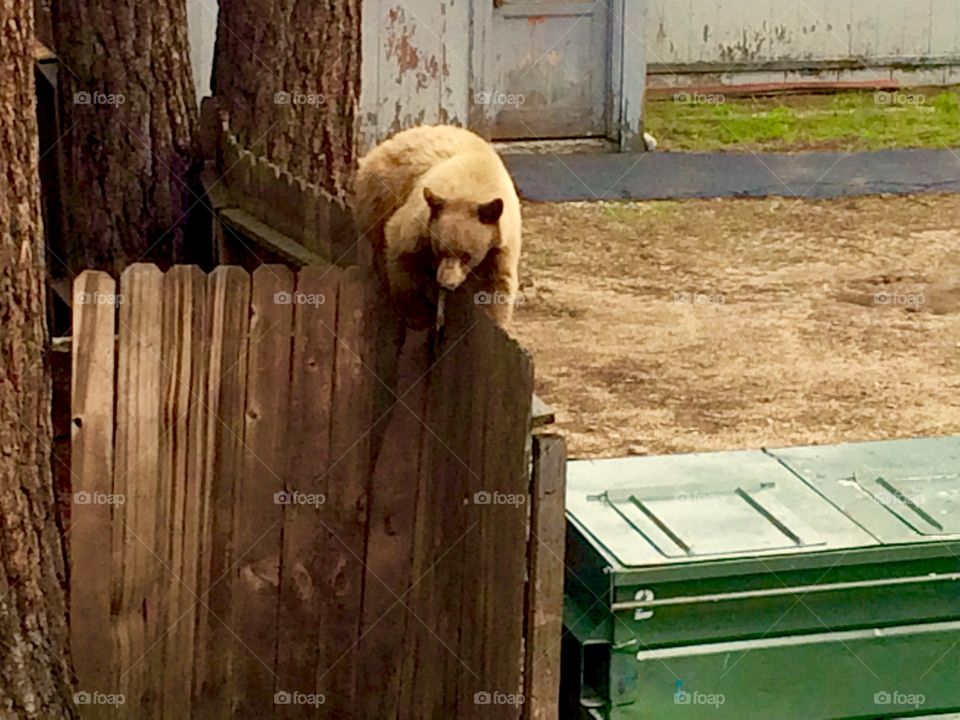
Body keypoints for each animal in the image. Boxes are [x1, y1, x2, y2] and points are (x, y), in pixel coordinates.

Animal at [352, 125, 520, 328]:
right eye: (440, 250)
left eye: (467, 256)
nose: (447, 284)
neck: (472, 191)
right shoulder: (420, 220)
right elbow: (402, 253)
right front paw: (417, 314)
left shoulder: (499, 245)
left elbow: (495, 285)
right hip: (380, 196)